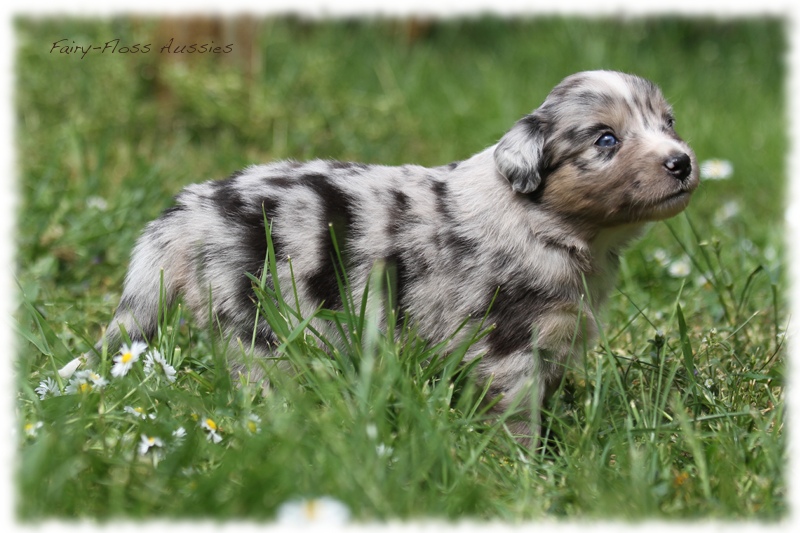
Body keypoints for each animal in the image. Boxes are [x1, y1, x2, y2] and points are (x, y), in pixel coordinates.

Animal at [90, 71, 696, 444]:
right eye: (605, 140)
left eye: (668, 123)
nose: (684, 162)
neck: (543, 219)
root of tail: (192, 208)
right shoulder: (508, 348)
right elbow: (516, 421)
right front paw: (529, 471)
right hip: (258, 327)